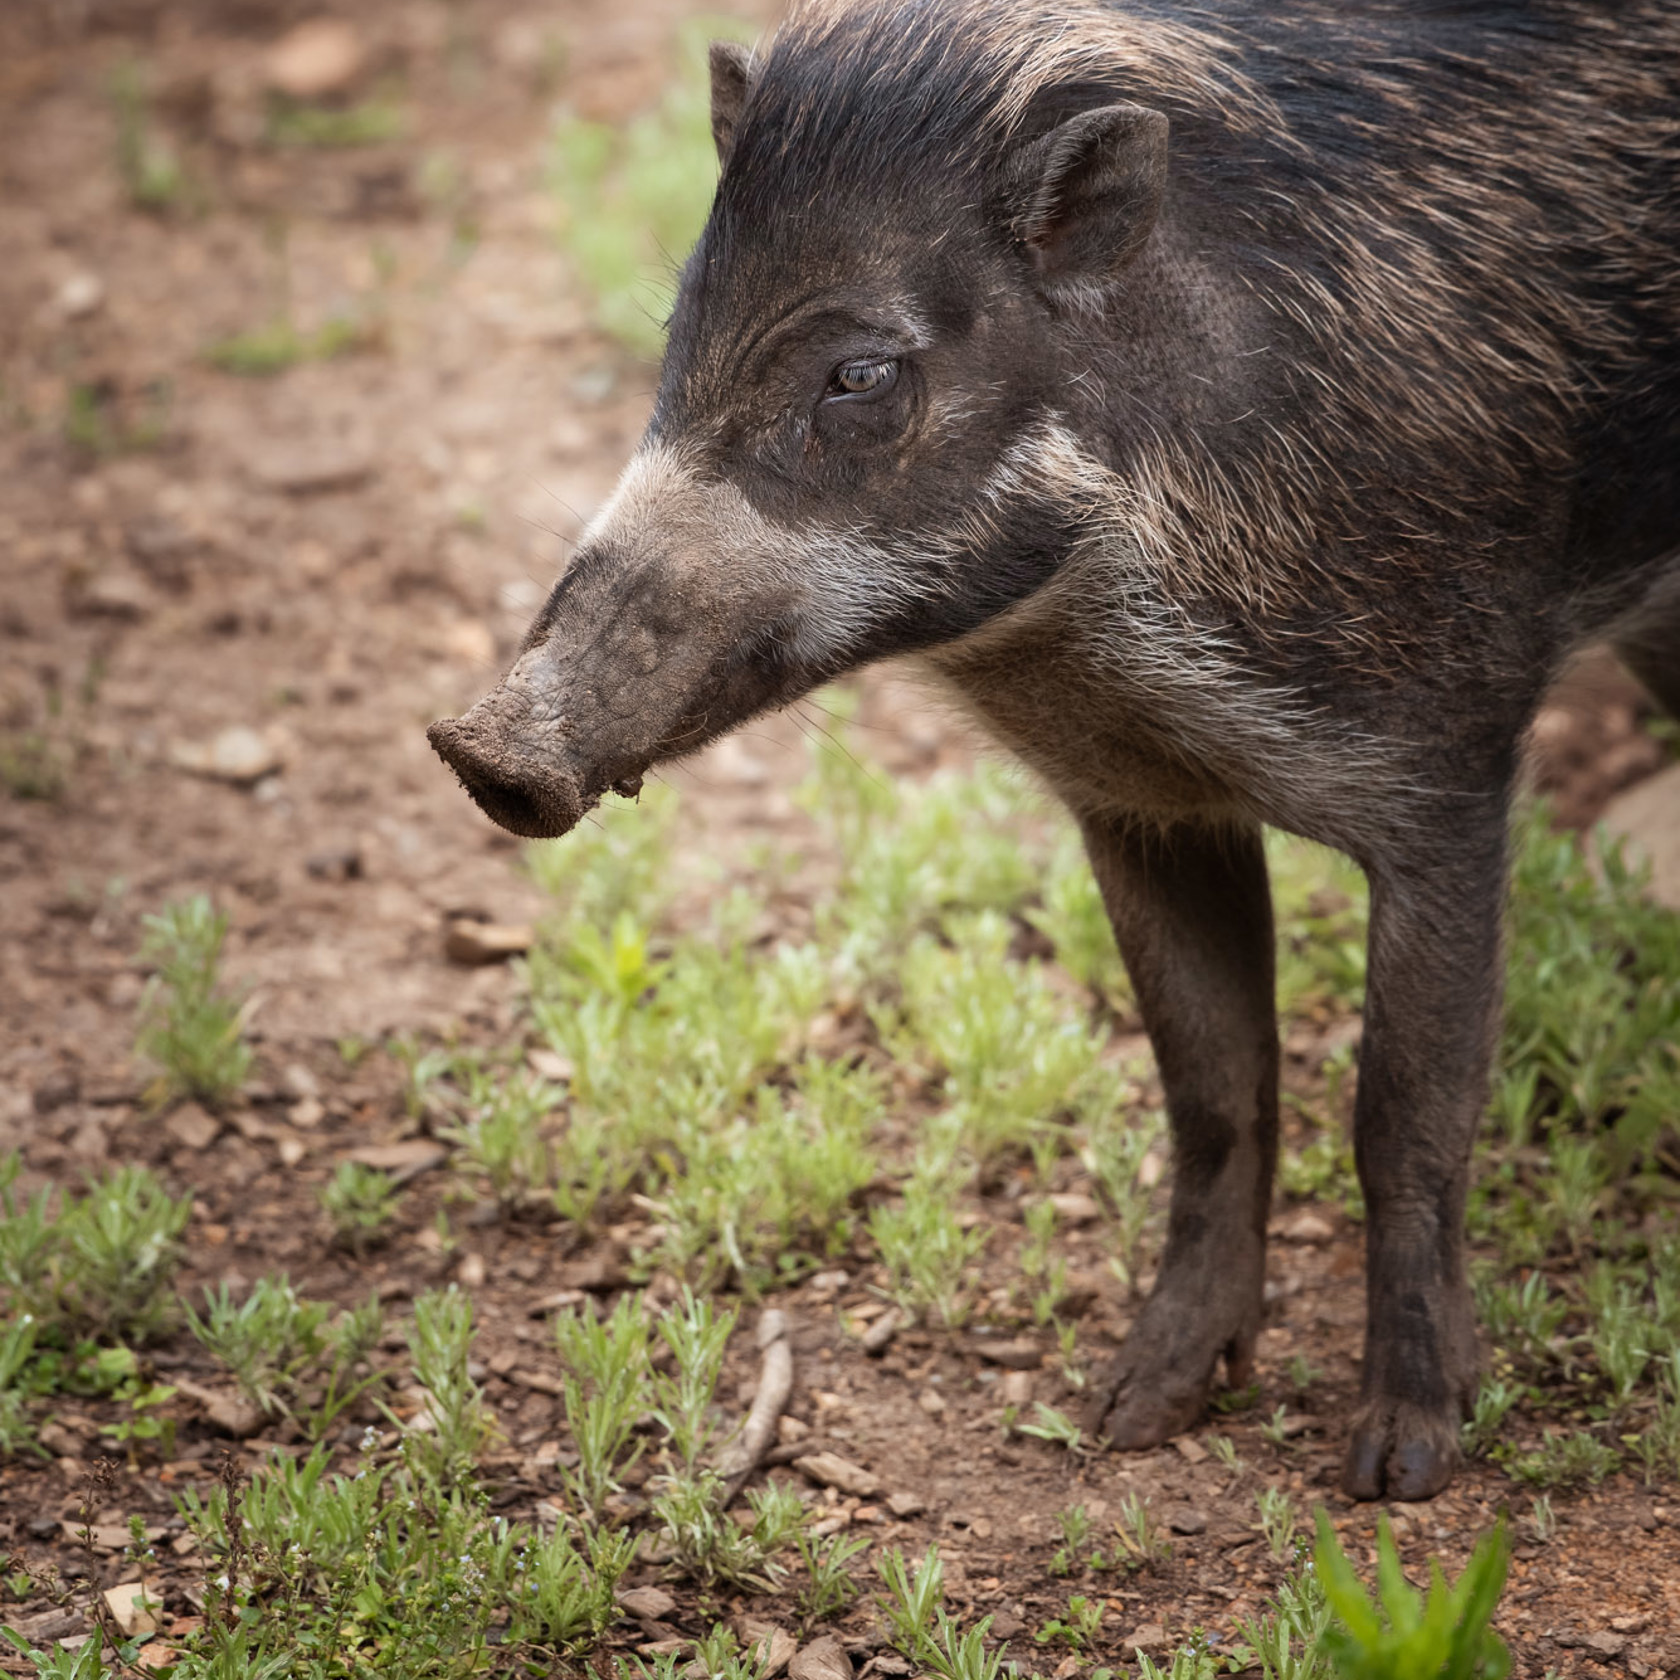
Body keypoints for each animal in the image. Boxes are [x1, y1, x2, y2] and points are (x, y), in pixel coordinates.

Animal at [433, 0, 1680, 1498]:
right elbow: (1212, 1090)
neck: (1105, 639)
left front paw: (1396, 1468)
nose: (482, 748)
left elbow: (1407, 1114)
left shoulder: (1449, 770)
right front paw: (1131, 1413)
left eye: (859, 374)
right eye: (681, 333)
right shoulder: (1140, 806)